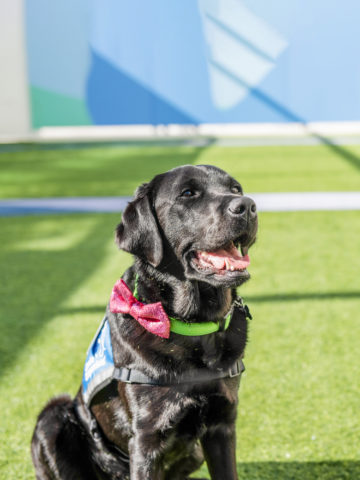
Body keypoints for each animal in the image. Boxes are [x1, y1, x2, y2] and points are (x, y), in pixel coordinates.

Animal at [30, 166, 256, 480]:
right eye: (188, 193)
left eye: (235, 189)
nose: (247, 205)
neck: (193, 327)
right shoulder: (146, 438)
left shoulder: (222, 424)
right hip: (51, 418)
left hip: (194, 453)